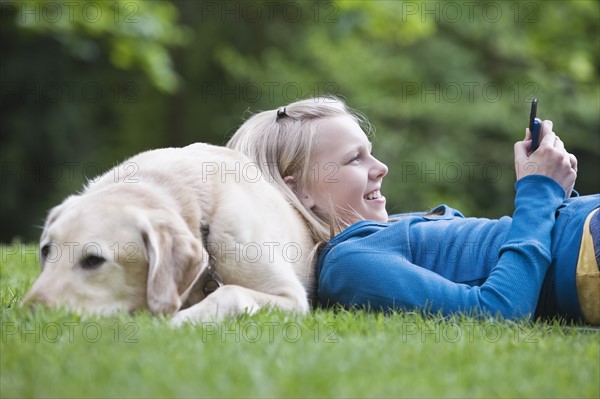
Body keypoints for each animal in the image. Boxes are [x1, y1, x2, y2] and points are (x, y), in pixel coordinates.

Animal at [21, 142, 316, 326]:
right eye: (46, 251)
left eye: (93, 260)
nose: (28, 315)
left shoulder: (291, 297)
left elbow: (229, 292)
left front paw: (178, 321)